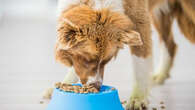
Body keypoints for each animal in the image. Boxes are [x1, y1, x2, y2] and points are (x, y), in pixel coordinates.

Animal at [43, 0, 195, 109]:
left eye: (106, 61)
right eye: (86, 60)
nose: (96, 87)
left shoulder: (140, 21)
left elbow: (140, 63)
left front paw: (138, 98)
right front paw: (65, 84)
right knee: (170, 44)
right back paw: (161, 74)